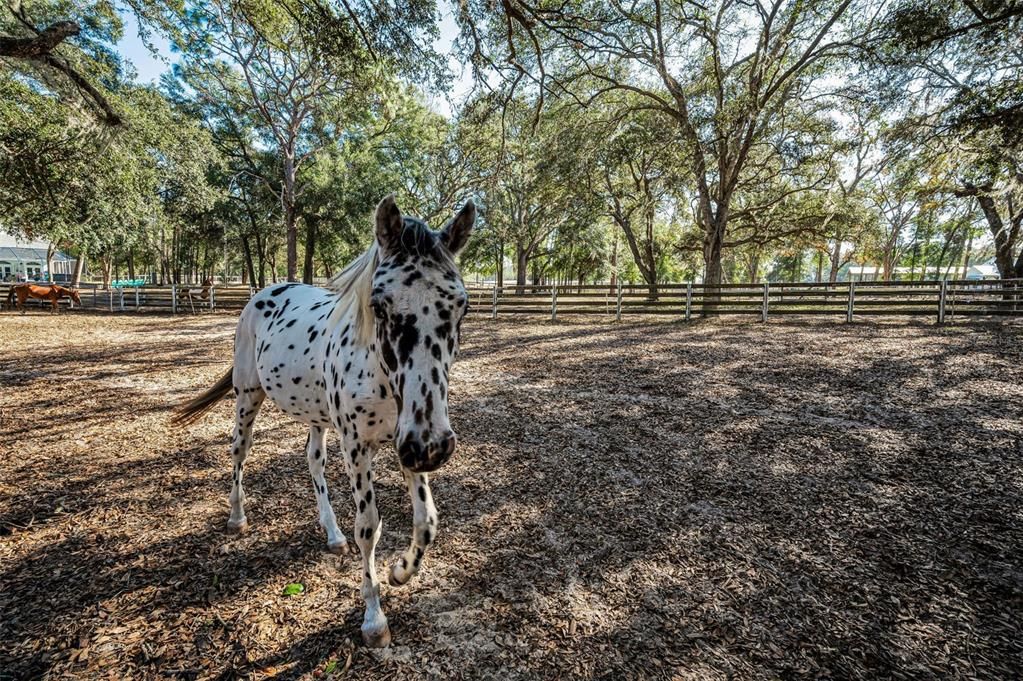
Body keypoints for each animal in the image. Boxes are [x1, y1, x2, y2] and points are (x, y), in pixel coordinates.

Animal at [174, 196, 474, 646]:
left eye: (461, 306)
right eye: (378, 304)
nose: (433, 446)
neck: (380, 374)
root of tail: (265, 292)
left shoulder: (408, 441)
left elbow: (427, 522)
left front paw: (400, 572)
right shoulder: (361, 447)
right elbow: (368, 526)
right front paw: (374, 619)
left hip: (316, 415)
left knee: (313, 461)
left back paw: (332, 535)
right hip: (248, 396)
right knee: (239, 452)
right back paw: (237, 517)